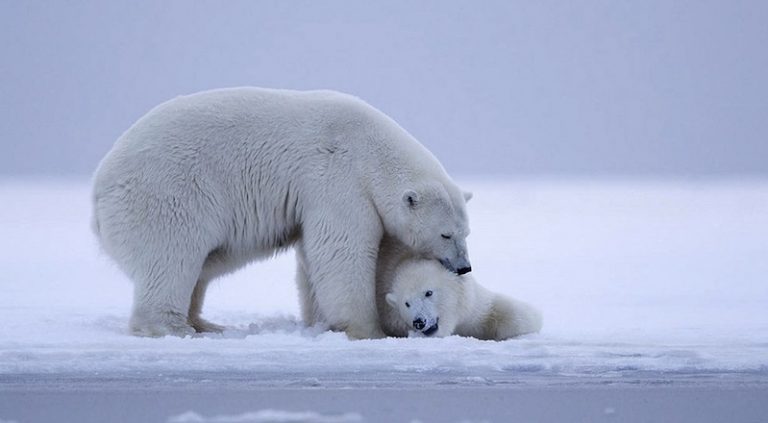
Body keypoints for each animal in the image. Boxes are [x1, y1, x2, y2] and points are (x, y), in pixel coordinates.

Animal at [92, 88, 472, 340]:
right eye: (446, 234)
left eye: (466, 233)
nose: (464, 267)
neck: (369, 147)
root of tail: (99, 191)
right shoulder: (338, 180)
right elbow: (340, 251)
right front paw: (368, 329)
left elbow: (312, 261)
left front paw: (320, 322)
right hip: (168, 194)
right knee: (172, 257)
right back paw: (173, 326)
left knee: (198, 266)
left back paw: (204, 323)